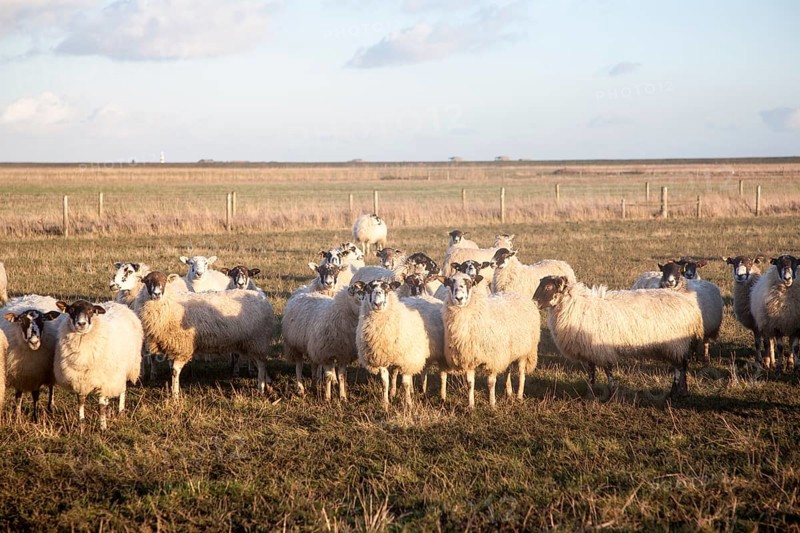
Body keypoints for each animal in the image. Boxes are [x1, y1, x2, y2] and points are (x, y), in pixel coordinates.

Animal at [54, 300, 143, 430]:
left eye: (91, 311)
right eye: (72, 310)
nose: (81, 323)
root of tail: (116, 303)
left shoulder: (103, 381)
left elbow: (101, 406)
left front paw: (102, 427)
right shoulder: (80, 379)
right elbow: (81, 401)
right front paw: (81, 426)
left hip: (125, 369)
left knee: (122, 389)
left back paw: (121, 411)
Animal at [138, 272, 276, 398]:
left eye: (165, 281)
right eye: (147, 281)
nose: (156, 294)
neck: (169, 303)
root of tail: (262, 297)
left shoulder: (182, 346)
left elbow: (175, 371)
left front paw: (175, 395)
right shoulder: (173, 347)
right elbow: (172, 369)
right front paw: (173, 391)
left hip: (258, 339)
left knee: (261, 363)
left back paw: (260, 388)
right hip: (248, 342)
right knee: (257, 361)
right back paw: (266, 381)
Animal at [356, 280, 445, 409]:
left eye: (387, 288)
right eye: (368, 289)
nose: (378, 304)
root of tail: (424, 296)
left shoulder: (407, 358)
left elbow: (405, 383)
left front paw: (408, 405)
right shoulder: (381, 358)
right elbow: (385, 382)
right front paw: (385, 403)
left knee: (435, 372)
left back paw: (434, 394)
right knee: (399, 373)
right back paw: (399, 392)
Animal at [441, 272, 540, 409]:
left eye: (469, 283)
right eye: (450, 283)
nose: (459, 298)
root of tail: (518, 294)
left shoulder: (493, 358)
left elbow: (491, 382)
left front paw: (492, 404)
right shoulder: (469, 357)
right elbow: (470, 383)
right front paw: (471, 406)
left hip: (524, 350)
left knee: (521, 373)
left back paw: (519, 396)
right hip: (508, 351)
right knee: (507, 370)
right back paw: (509, 393)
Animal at [533, 276, 704, 397]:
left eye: (548, 286)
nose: (533, 302)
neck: (576, 306)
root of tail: (689, 303)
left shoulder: (602, 348)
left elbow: (608, 371)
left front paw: (612, 393)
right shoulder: (589, 350)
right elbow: (591, 372)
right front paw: (590, 393)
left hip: (676, 344)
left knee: (679, 367)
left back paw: (673, 393)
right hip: (676, 345)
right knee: (682, 365)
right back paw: (683, 392)